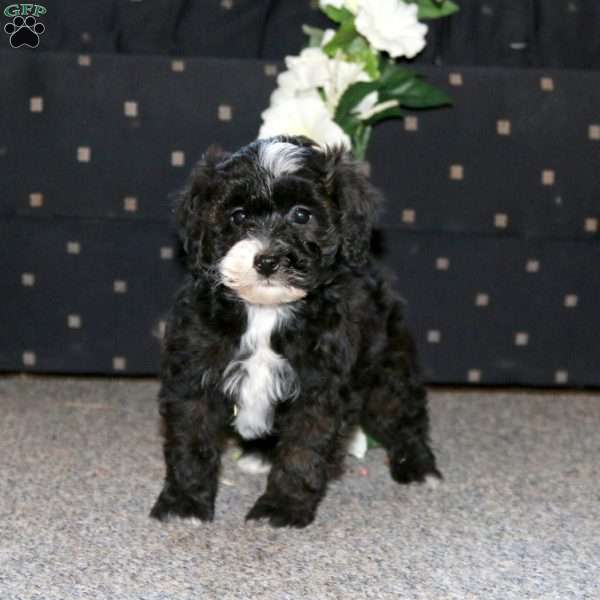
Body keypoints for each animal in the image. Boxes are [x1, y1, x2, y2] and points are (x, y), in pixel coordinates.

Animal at [150, 135, 440, 524]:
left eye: (302, 215)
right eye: (238, 216)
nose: (267, 260)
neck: (265, 310)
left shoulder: (319, 385)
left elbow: (303, 449)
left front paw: (282, 507)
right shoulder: (194, 369)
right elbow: (190, 438)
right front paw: (184, 503)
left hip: (387, 364)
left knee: (399, 411)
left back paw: (419, 467)